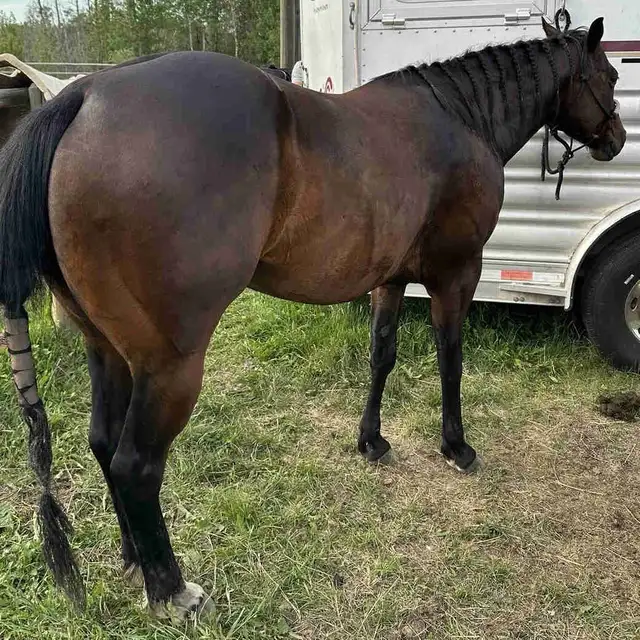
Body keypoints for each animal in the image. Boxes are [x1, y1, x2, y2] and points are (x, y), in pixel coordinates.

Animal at [0, 17, 625, 619]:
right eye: (611, 75)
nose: (617, 139)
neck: (459, 116)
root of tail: (81, 97)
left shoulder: (390, 278)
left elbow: (382, 355)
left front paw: (372, 441)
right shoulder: (456, 274)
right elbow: (451, 360)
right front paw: (457, 447)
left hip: (106, 349)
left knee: (104, 443)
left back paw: (134, 562)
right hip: (169, 366)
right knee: (135, 464)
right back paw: (171, 590)